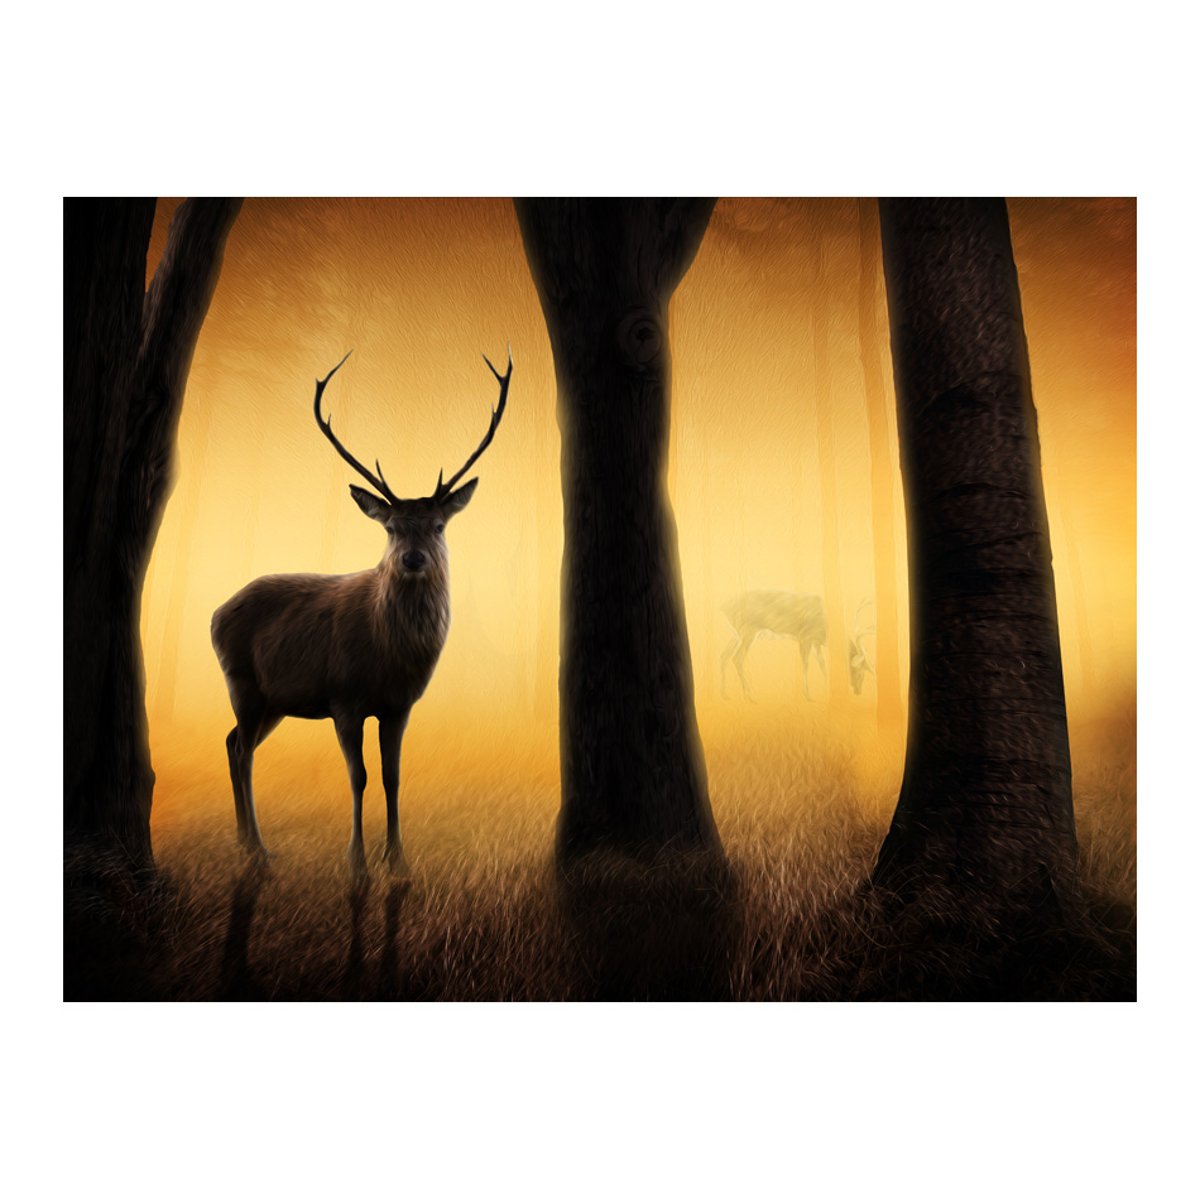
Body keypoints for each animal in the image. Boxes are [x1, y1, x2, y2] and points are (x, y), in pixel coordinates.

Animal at [211, 348, 511, 877]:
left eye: (437, 525)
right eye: (391, 528)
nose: (412, 559)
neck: (389, 658)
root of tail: (213, 614)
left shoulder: (399, 705)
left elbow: (392, 776)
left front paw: (399, 861)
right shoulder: (343, 697)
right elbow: (359, 776)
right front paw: (357, 863)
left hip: (274, 700)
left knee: (231, 743)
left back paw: (247, 843)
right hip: (241, 681)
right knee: (243, 751)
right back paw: (259, 850)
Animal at [720, 593, 874, 701]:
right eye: (860, 672)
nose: (858, 691)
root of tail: (724, 607)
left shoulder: (816, 642)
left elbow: (822, 665)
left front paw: (826, 691)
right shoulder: (805, 637)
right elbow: (805, 664)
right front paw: (808, 696)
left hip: (736, 635)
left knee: (724, 656)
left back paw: (725, 695)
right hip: (748, 631)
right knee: (737, 658)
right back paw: (750, 696)